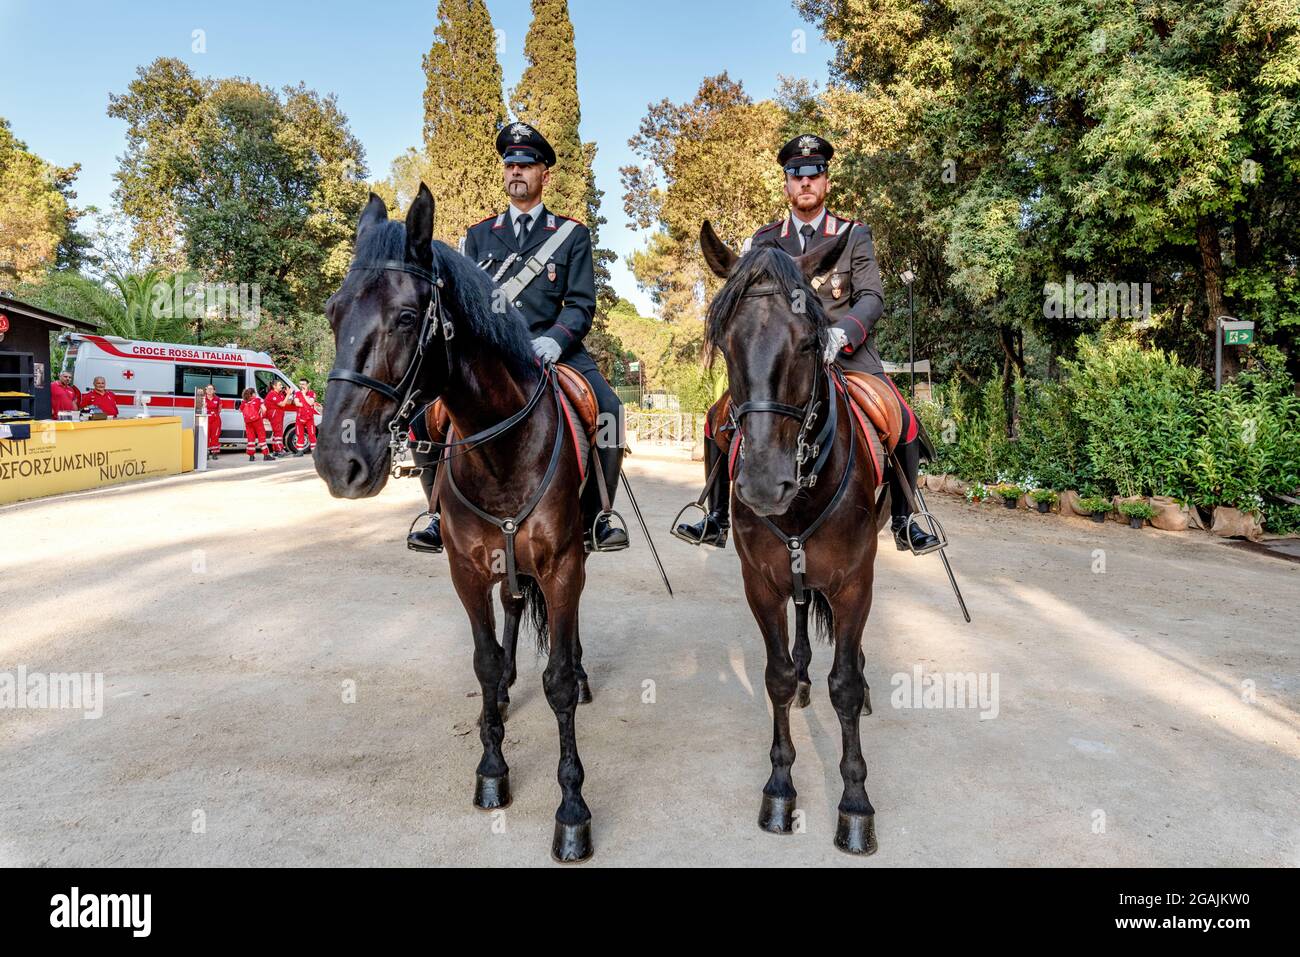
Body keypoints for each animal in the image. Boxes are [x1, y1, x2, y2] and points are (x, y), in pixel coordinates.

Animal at [317, 183, 595, 863]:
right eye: (334, 313)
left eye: (406, 318)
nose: (338, 462)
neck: (500, 445)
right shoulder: (465, 570)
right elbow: (486, 662)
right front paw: (492, 768)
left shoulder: (564, 565)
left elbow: (557, 682)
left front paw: (572, 809)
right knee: (515, 608)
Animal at [702, 221, 883, 858]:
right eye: (726, 344)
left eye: (809, 343)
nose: (761, 483)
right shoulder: (761, 581)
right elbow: (776, 676)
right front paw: (780, 788)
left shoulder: (854, 581)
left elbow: (845, 686)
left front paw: (855, 805)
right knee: (803, 616)